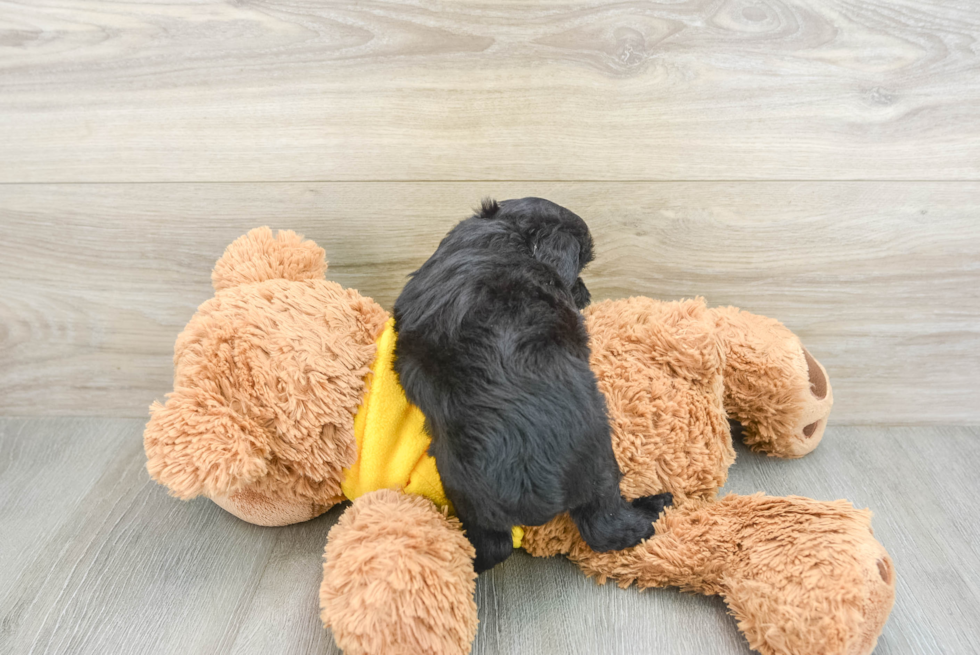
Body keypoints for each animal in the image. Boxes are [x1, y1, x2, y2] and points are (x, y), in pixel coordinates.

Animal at [394, 197, 668, 572]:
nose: (586, 293)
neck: (507, 232)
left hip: (462, 488)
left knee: (493, 546)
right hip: (600, 463)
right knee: (605, 524)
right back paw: (653, 509)